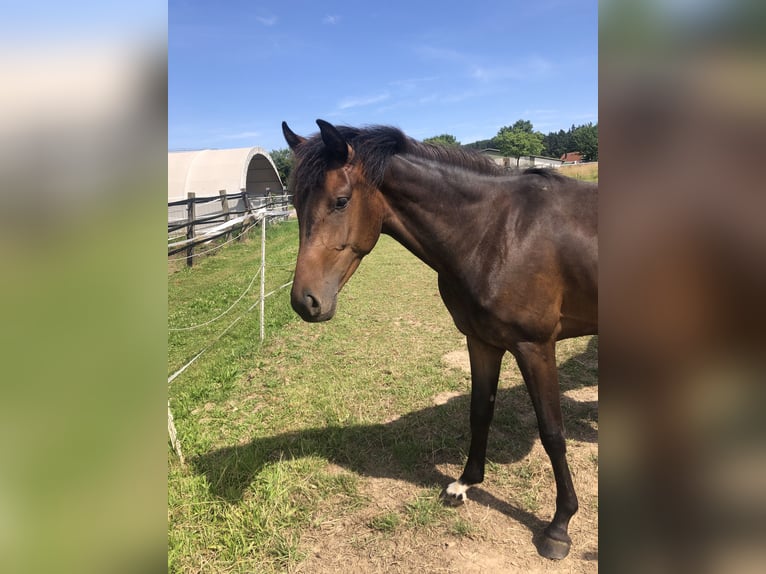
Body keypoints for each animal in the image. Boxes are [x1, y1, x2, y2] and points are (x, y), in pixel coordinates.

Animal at [282, 118, 600, 564]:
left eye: (341, 201)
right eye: (295, 203)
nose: (305, 302)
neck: (496, 233)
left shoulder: (535, 347)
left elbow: (553, 433)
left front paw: (559, 525)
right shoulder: (481, 342)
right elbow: (480, 412)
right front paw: (465, 483)